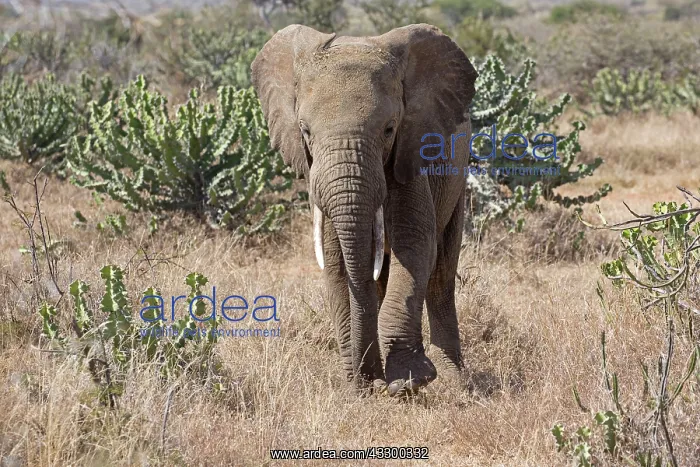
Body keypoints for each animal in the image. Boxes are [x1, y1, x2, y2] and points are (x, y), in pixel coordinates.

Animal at [251, 23, 478, 396]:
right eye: (305, 131)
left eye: (389, 129)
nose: (365, 379)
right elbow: (336, 260)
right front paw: (362, 386)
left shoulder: (410, 153)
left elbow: (414, 248)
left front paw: (408, 381)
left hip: (456, 179)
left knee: (441, 272)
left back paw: (456, 379)